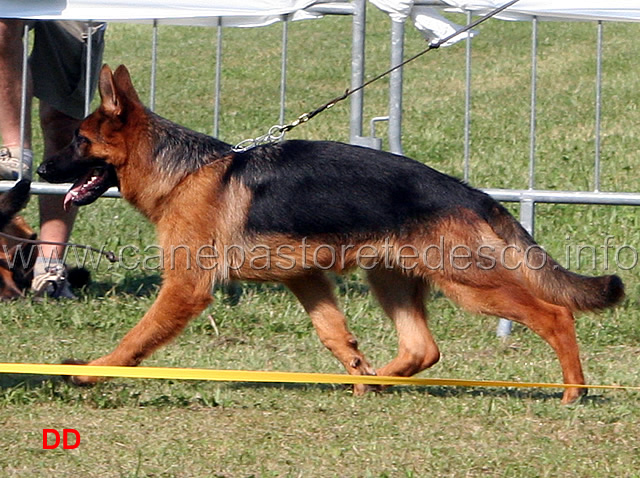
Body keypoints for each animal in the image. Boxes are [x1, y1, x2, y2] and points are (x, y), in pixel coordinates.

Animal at [37, 65, 624, 404]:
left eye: (79, 140)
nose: (39, 170)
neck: (184, 172)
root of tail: (469, 193)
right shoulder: (306, 278)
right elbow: (335, 334)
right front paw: (357, 372)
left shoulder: (186, 288)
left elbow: (135, 340)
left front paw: (89, 374)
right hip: (392, 279)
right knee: (423, 349)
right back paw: (375, 380)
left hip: (468, 283)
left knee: (554, 314)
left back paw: (574, 391)